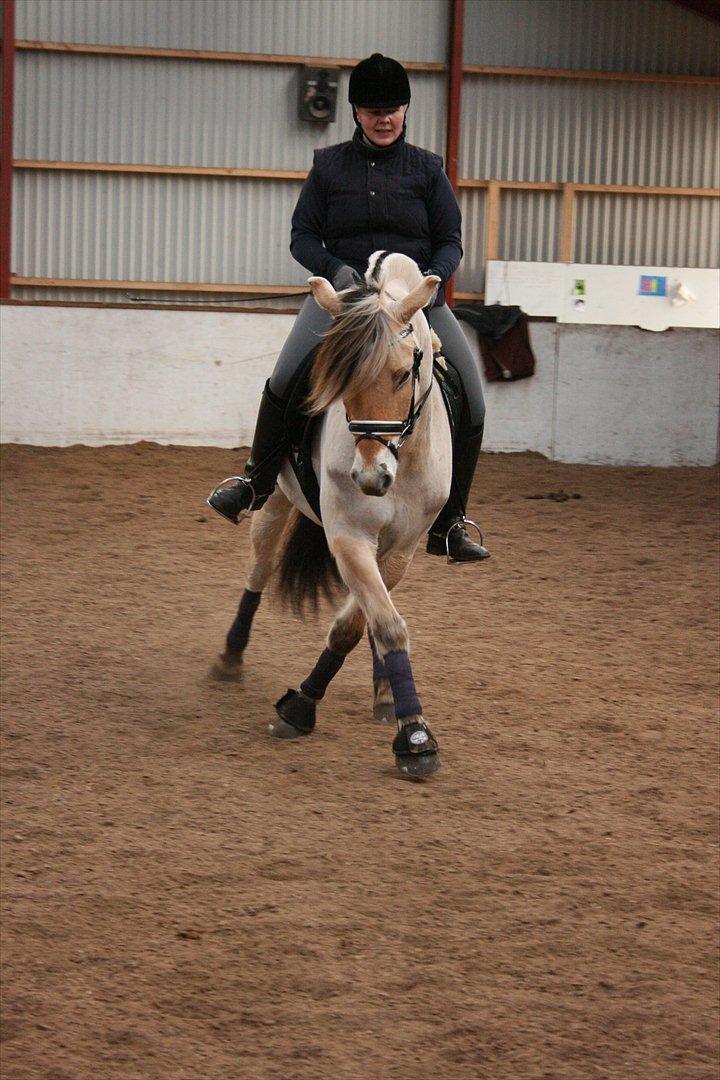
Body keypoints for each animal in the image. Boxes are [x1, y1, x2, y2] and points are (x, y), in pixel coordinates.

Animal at [211, 252, 455, 777]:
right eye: (341, 380)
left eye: (403, 375)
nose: (370, 478)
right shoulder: (349, 535)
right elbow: (378, 623)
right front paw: (304, 707)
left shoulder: (401, 545)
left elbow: (364, 621)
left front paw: (407, 724)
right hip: (275, 498)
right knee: (260, 568)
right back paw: (230, 656)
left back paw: (384, 693)